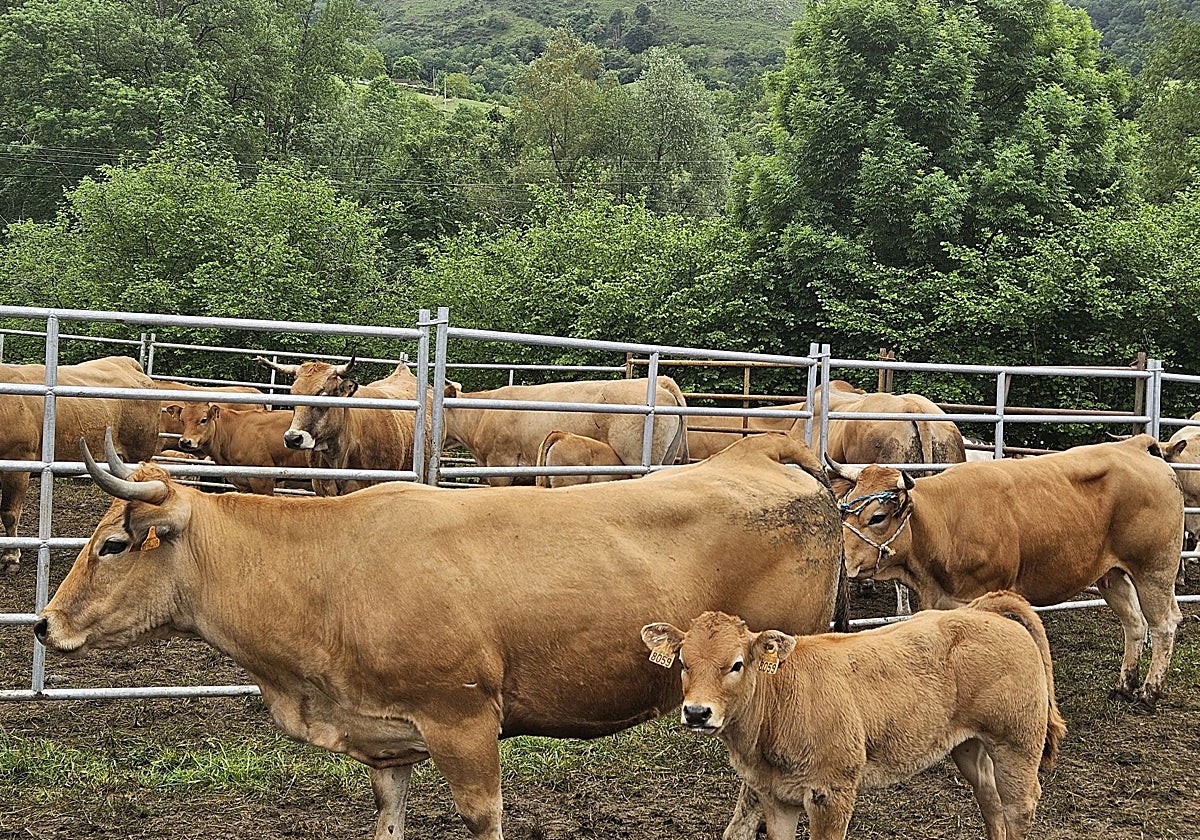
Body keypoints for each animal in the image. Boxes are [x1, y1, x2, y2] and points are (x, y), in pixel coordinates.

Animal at [36, 431, 847, 840]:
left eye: (113, 545)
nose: (45, 624)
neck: (332, 571)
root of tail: (758, 454)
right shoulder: (386, 737)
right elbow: (388, 819)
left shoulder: (463, 721)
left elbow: (481, 817)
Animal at [641, 591, 1065, 840]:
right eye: (683, 663)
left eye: (736, 664)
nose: (697, 712)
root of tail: (983, 610)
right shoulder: (774, 796)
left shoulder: (832, 793)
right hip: (969, 743)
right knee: (990, 800)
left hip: (1016, 742)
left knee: (1019, 806)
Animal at [827, 434, 1185, 708]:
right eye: (844, 506)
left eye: (877, 517)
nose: (842, 557)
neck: (945, 521)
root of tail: (1136, 446)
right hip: (1111, 575)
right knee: (1134, 623)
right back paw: (1125, 685)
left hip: (1155, 570)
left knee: (1164, 624)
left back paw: (1149, 692)